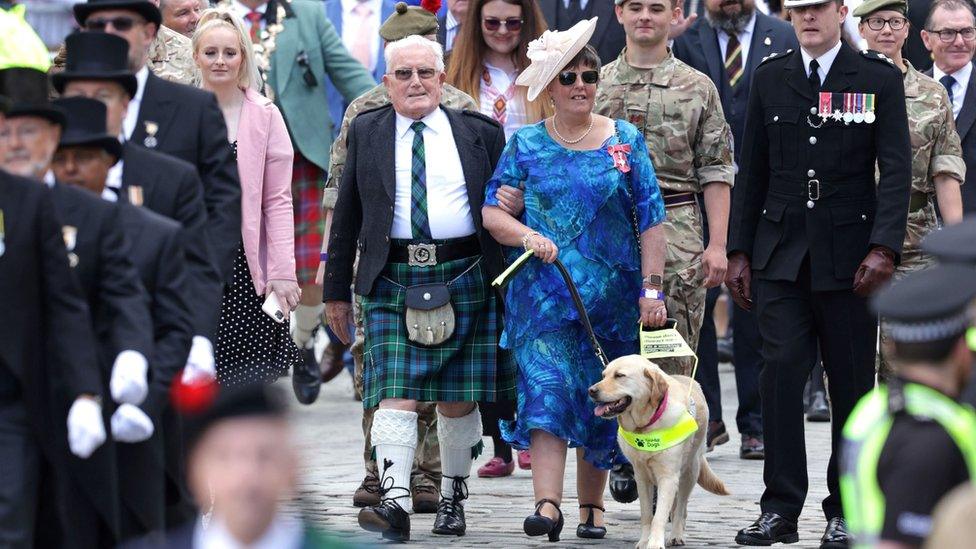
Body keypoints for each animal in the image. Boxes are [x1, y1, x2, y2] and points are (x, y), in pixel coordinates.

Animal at [592, 354, 728, 544]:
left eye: (619, 375)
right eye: (603, 375)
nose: (591, 390)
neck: (647, 425)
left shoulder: (668, 477)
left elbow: (659, 516)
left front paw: (655, 543)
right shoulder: (641, 477)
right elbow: (647, 515)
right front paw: (644, 541)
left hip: (690, 471)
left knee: (681, 507)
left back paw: (677, 534)